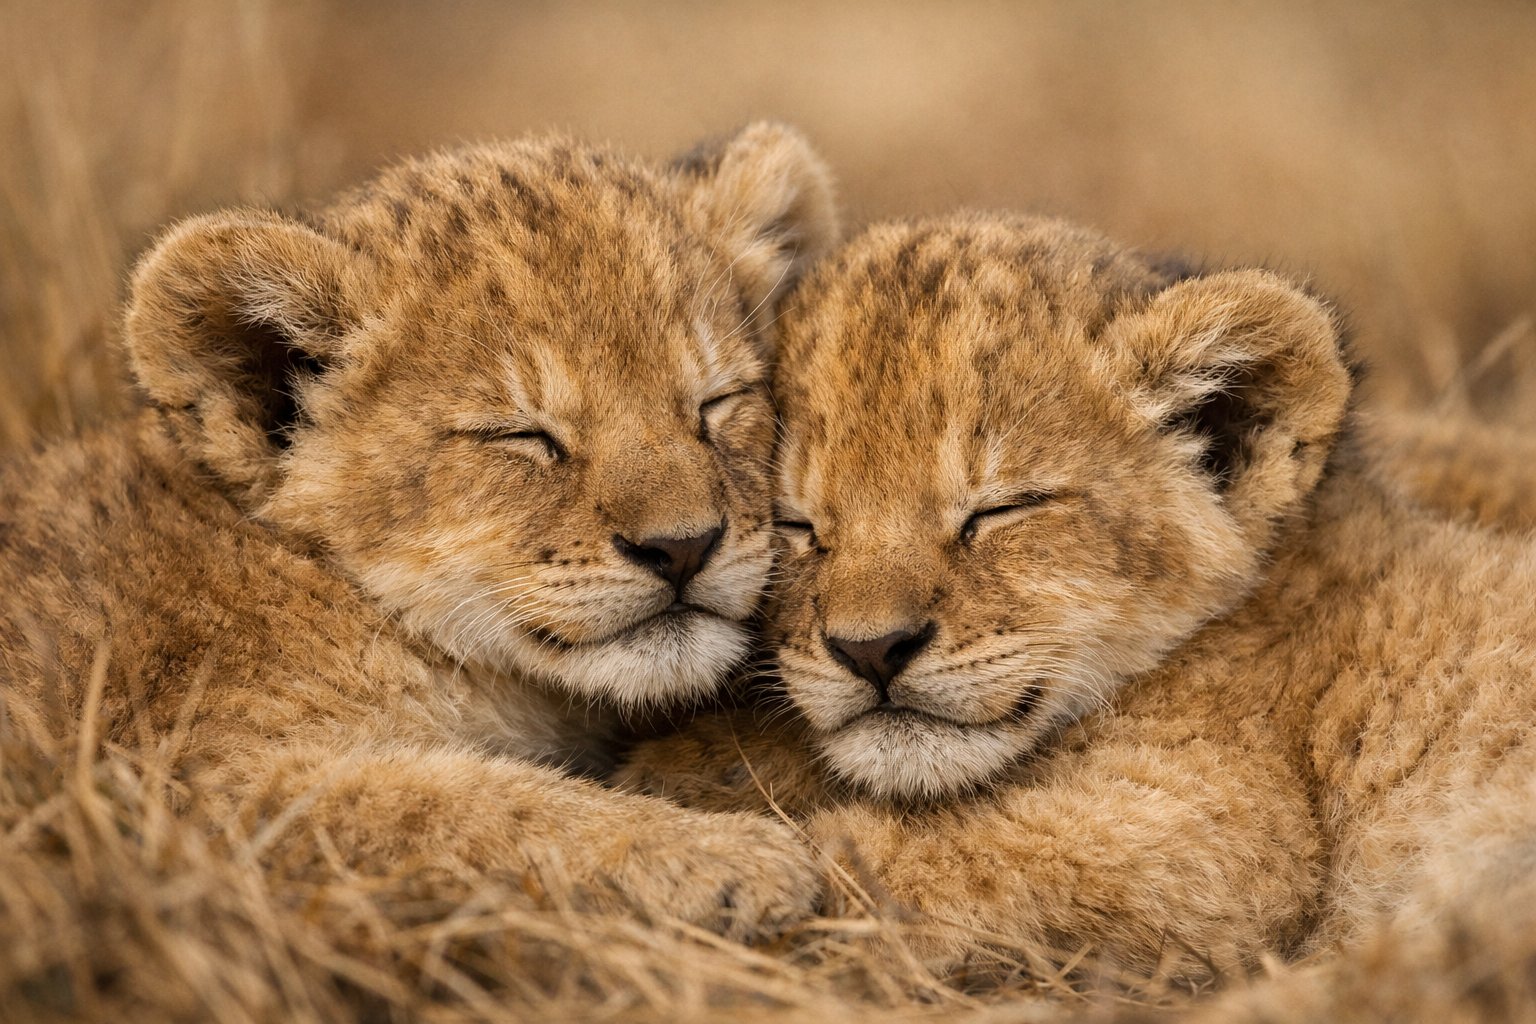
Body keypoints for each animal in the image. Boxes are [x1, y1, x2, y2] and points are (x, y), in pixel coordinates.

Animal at [0, 124, 840, 940]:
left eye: (717, 402)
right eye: (522, 436)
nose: (683, 547)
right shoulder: (174, 788)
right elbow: (474, 809)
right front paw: (728, 855)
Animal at [615, 211, 1536, 984]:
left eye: (999, 510)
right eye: (799, 524)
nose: (871, 651)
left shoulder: (1207, 827)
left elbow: (914, 862)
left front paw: (710, 870)